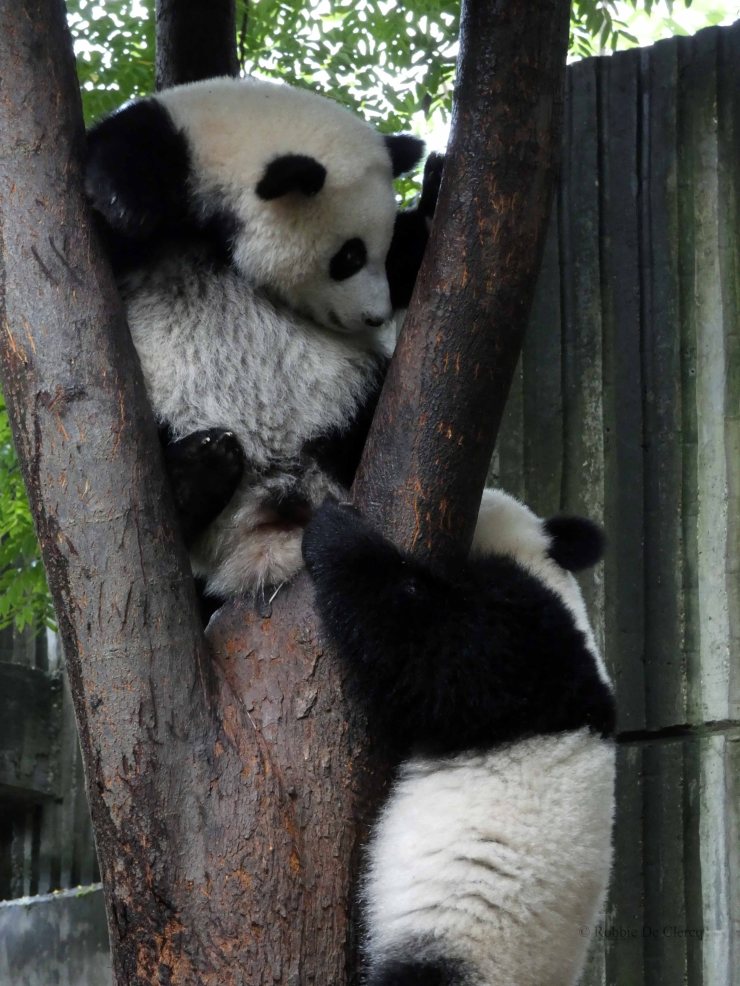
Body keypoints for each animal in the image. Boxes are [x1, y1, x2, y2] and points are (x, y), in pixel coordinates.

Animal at [85, 76, 439, 606]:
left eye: (382, 246)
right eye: (349, 256)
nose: (374, 315)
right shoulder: (165, 149)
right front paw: (123, 205)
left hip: (343, 395)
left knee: (366, 409)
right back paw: (198, 472)